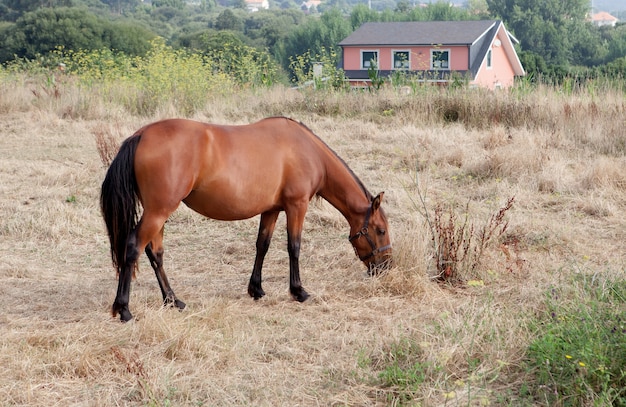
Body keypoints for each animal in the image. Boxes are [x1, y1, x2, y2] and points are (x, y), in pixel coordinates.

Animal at [100, 117, 390, 322]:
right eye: (380, 230)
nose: (385, 267)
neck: (307, 150)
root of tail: (140, 135)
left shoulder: (271, 209)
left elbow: (262, 246)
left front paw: (256, 289)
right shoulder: (297, 206)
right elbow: (294, 247)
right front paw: (298, 291)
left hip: (159, 213)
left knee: (155, 253)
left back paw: (172, 300)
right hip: (158, 211)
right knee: (133, 248)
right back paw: (124, 309)